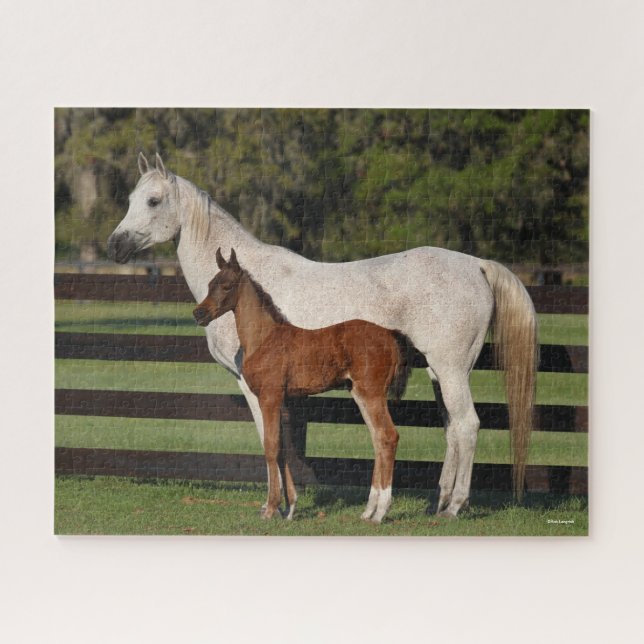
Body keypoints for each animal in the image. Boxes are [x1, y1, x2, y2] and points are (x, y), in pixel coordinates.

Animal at [193, 248, 412, 522]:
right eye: (210, 284)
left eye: (226, 285)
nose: (199, 314)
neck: (264, 337)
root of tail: (391, 336)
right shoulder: (281, 400)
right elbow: (282, 448)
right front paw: (290, 507)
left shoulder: (269, 397)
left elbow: (271, 447)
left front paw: (271, 508)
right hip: (361, 393)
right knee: (378, 438)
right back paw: (368, 510)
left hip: (371, 393)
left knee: (388, 436)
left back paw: (380, 513)